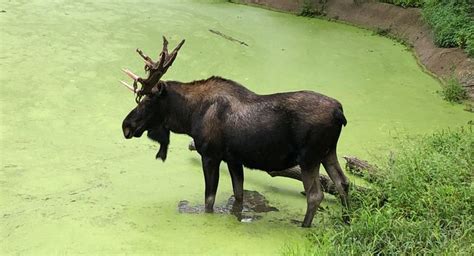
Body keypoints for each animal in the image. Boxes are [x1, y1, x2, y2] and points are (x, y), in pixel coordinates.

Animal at [120, 36, 350, 228]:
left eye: (147, 100)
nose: (126, 125)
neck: (189, 117)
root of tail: (339, 112)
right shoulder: (234, 159)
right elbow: (238, 195)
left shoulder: (210, 155)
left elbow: (209, 200)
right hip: (328, 152)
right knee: (342, 183)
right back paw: (346, 222)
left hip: (309, 157)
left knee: (315, 194)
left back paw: (304, 226)